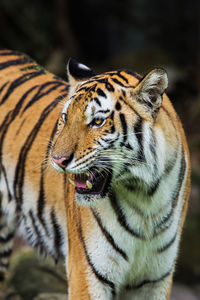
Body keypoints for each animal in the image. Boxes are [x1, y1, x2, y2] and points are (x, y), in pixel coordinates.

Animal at [0, 49, 191, 300]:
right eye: (65, 118)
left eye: (98, 121)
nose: (57, 160)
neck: (146, 197)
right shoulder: (88, 274)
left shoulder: (156, 279)